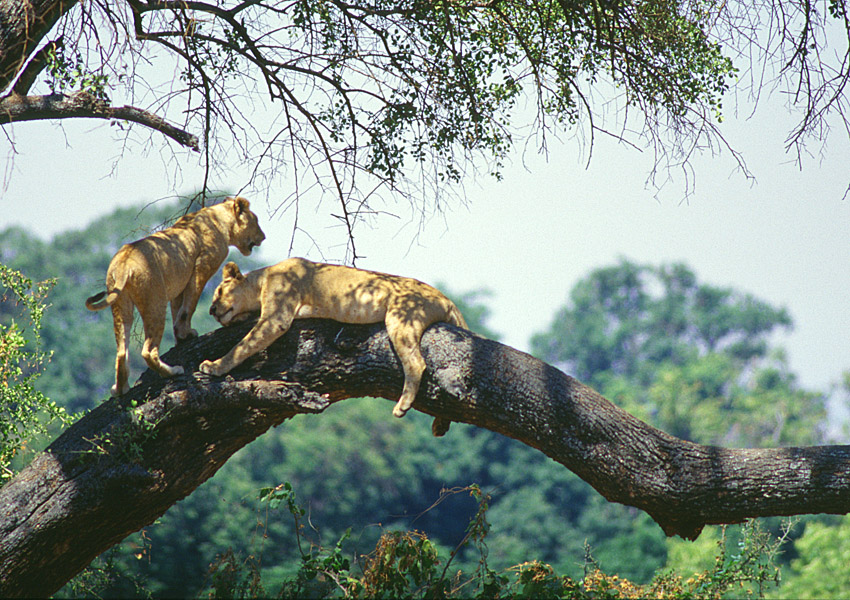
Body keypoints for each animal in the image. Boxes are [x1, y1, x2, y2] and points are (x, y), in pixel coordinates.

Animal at [199, 258, 468, 432]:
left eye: (219, 290)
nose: (211, 310)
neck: (262, 280)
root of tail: (446, 298)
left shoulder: (276, 318)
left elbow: (243, 346)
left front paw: (214, 366)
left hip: (400, 316)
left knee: (416, 362)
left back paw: (402, 406)